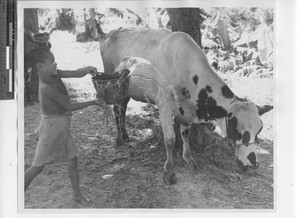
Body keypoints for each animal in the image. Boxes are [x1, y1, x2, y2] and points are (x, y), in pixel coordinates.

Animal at [97, 27, 274, 184]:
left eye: (259, 130)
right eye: (236, 130)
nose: (252, 165)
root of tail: (111, 33)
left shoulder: (186, 112)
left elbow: (185, 134)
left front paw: (189, 159)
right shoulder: (164, 105)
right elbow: (170, 140)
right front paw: (169, 171)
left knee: (123, 108)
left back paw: (125, 135)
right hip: (114, 85)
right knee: (117, 109)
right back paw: (118, 138)